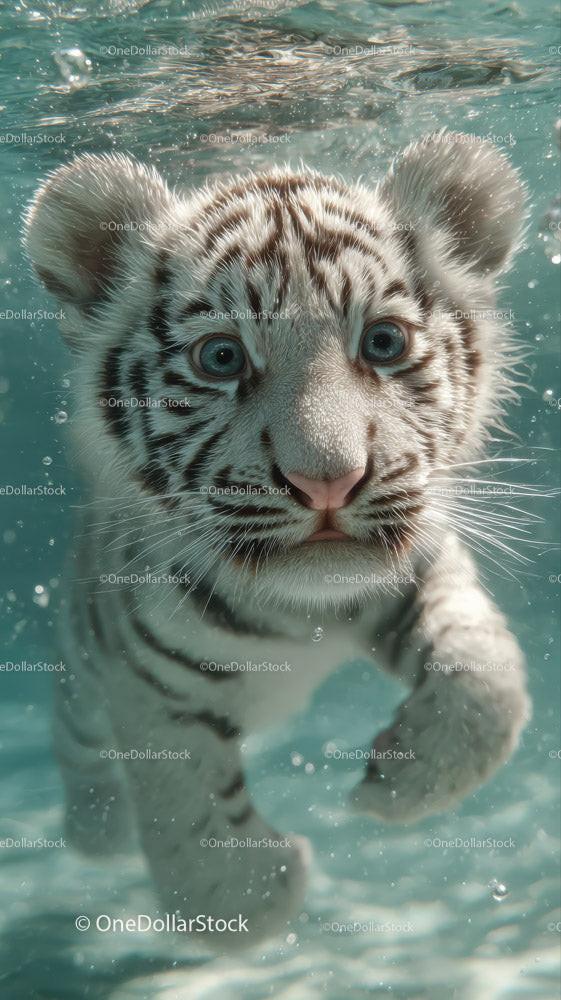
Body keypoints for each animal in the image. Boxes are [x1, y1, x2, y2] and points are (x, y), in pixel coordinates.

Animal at [24, 131, 530, 947]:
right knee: (82, 757)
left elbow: (486, 680)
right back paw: (97, 831)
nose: (327, 481)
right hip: (78, 675)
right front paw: (250, 897)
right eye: (221, 358)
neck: (304, 613)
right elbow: (184, 795)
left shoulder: (423, 568)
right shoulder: (143, 678)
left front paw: (397, 781)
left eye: (383, 342)